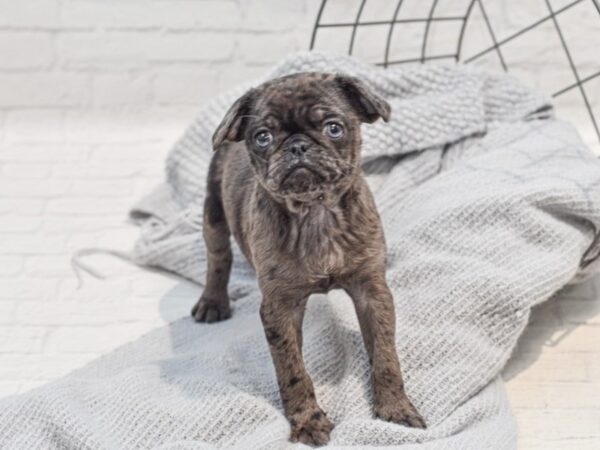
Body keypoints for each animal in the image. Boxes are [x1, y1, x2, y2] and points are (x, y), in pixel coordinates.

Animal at [192, 72, 426, 444]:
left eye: (334, 128)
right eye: (263, 137)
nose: (298, 146)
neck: (315, 212)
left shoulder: (372, 292)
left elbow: (386, 356)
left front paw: (395, 408)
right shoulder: (280, 308)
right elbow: (293, 371)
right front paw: (307, 421)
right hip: (213, 211)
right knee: (218, 258)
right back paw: (213, 302)